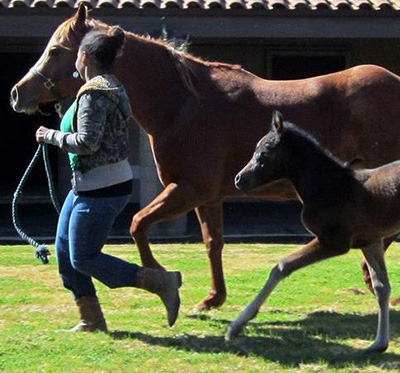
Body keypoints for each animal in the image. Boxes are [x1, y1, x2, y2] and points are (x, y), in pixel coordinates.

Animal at [10, 4, 400, 310]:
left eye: (56, 51)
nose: (17, 93)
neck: (184, 105)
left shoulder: (188, 189)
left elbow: (138, 224)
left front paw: (158, 276)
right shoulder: (208, 196)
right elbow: (213, 243)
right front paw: (213, 298)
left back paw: (370, 277)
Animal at [228, 110, 396, 352]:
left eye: (265, 151)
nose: (239, 179)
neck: (331, 187)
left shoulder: (333, 242)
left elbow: (281, 267)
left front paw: (236, 326)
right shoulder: (370, 241)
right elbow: (382, 286)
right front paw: (379, 343)